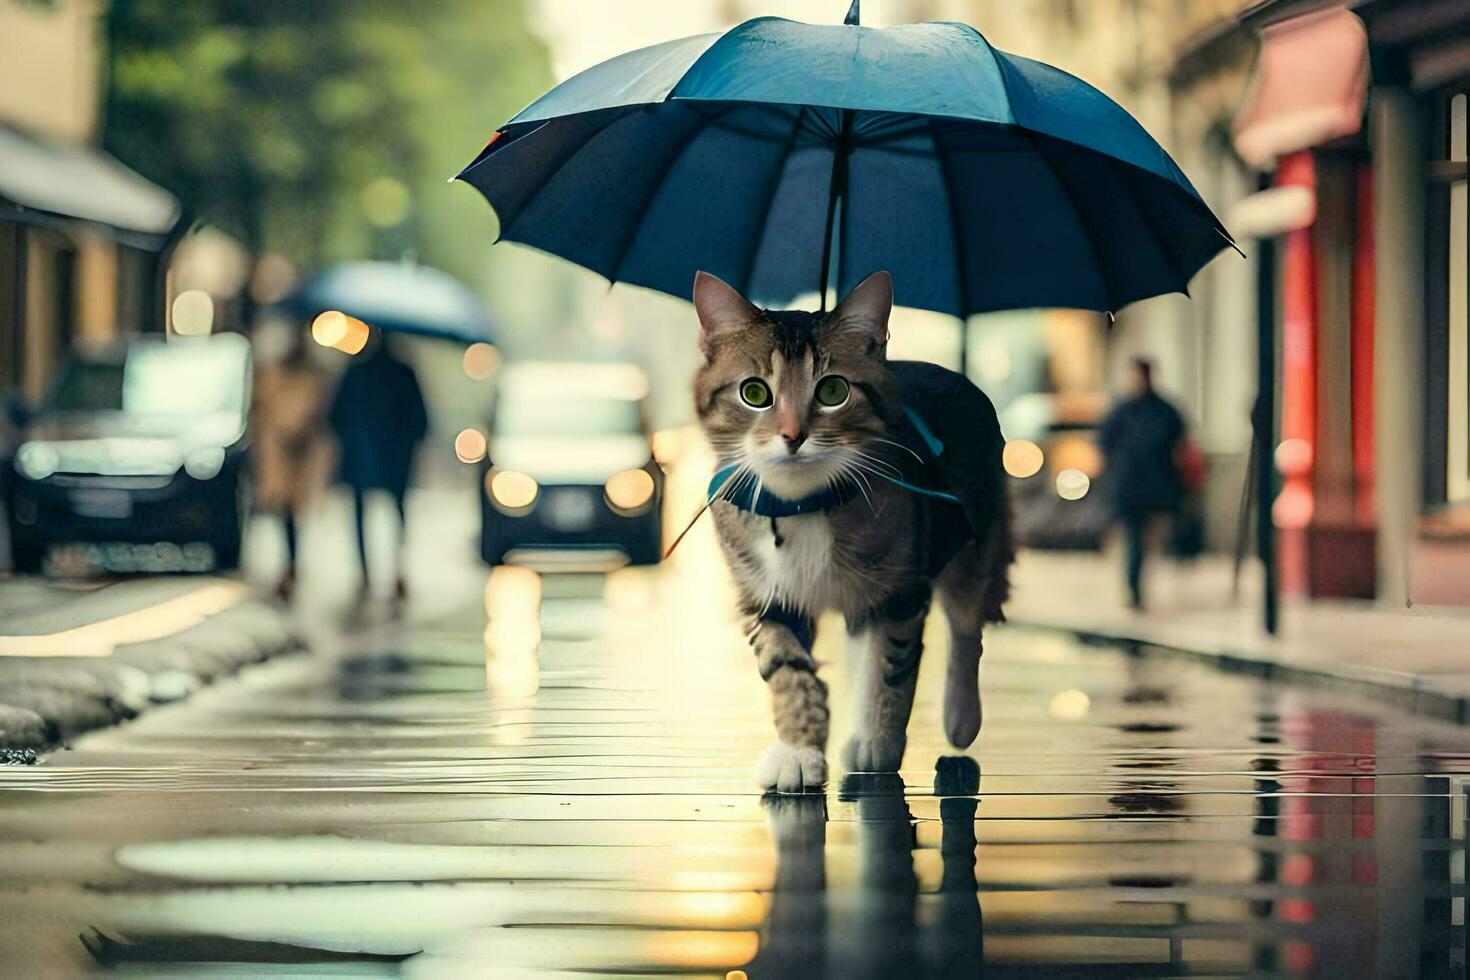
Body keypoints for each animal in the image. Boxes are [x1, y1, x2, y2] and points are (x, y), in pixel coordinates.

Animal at [693, 271, 1017, 793]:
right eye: (755, 393)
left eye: (832, 392)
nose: (793, 435)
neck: (803, 501)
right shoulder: (767, 596)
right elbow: (789, 671)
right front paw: (799, 750)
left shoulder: (898, 592)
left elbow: (888, 670)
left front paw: (877, 746)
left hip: (974, 543)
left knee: (967, 626)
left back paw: (960, 718)